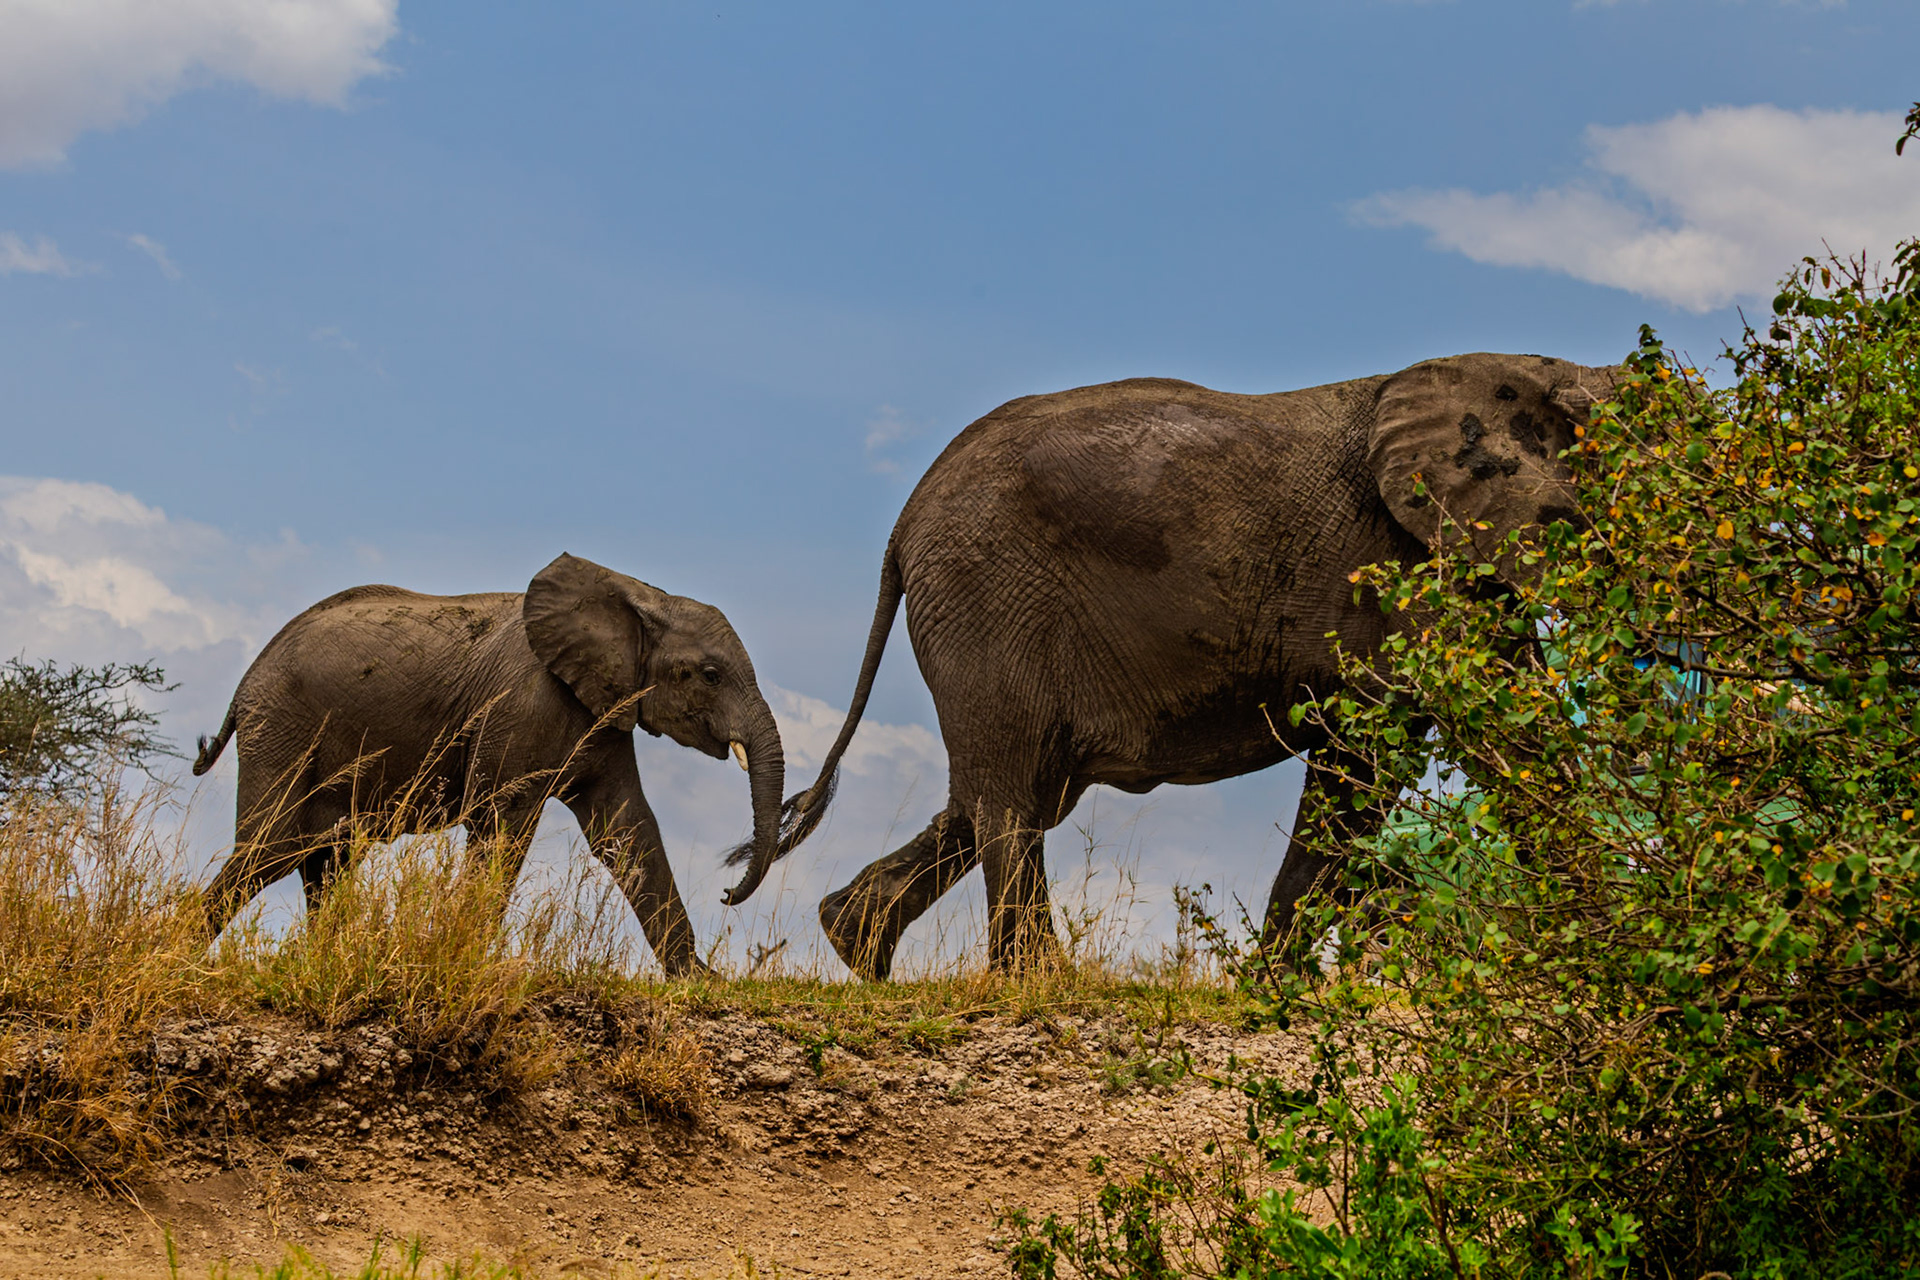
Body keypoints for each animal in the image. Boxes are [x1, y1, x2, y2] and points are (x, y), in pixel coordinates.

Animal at [191, 552, 785, 976]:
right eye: (710, 675)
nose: (729, 893)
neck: (638, 593)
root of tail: (246, 681)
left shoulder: (603, 710)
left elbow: (628, 831)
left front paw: (701, 981)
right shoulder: (526, 703)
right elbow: (502, 823)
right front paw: (472, 960)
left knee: (326, 857)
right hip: (282, 726)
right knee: (272, 847)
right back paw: (180, 948)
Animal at [732, 352, 1616, 978]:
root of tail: (903, 522)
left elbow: (1365, 764)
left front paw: (1273, 987)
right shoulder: (1410, 557)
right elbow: (1464, 739)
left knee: (1003, 792)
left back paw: (856, 946)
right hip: (988, 595)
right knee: (1011, 799)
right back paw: (1039, 982)